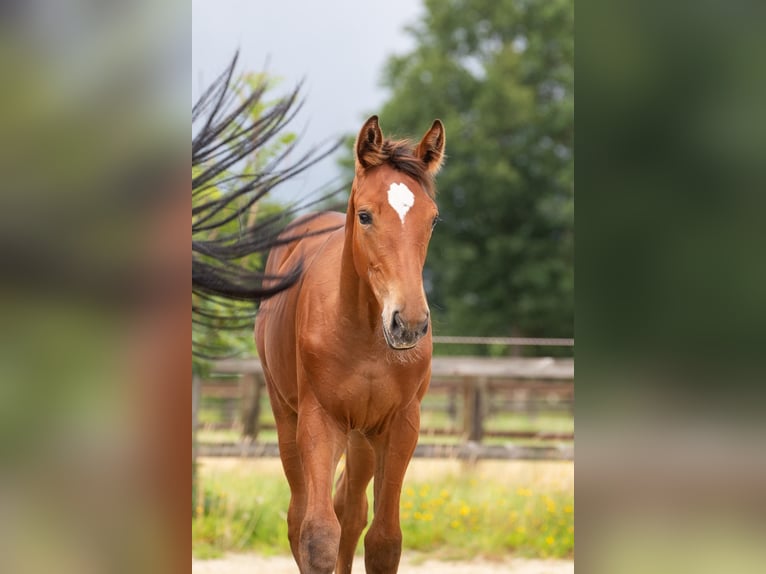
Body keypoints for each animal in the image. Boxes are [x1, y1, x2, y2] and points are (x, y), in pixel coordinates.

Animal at [256, 115, 444, 572]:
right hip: (287, 416)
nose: (409, 323)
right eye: (364, 215)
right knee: (300, 515)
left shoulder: (400, 426)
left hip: (362, 435)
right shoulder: (320, 422)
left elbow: (384, 540)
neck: (367, 337)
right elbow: (318, 535)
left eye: (432, 219)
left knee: (351, 509)